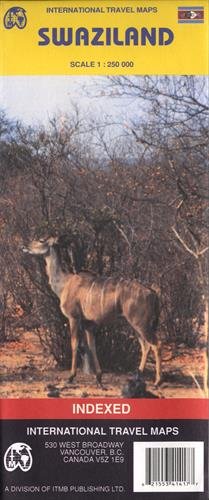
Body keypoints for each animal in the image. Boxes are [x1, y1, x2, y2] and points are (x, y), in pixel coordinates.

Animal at [22, 236, 161, 384]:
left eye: (41, 240)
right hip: (134, 324)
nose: (24, 246)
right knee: (145, 346)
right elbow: (91, 346)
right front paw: (98, 377)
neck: (64, 283)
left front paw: (71, 377)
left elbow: (75, 343)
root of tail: (152, 293)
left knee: (155, 344)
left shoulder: (74, 317)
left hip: (140, 323)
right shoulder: (88, 323)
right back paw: (138, 376)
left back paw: (157, 381)